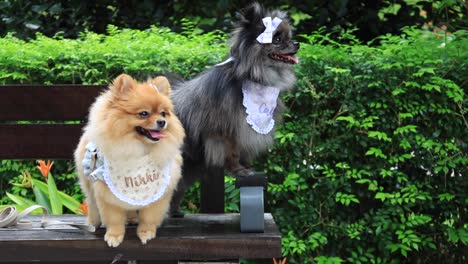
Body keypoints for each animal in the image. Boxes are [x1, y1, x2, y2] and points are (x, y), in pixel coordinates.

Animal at [74, 73, 185, 246]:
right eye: (144, 114)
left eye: (163, 113)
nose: (162, 122)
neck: (140, 148)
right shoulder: (106, 192)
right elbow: (114, 218)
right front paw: (114, 236)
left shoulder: (159, 193)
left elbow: (148, 217)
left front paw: (146, 232)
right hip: (88, 183)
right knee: (92, 204)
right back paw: (93, 223)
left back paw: (132, 219)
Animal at [171, 1, 300, 217]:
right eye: (277, 39)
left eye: (289, 36)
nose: (297, 43)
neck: (251, 76)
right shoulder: (224, 131)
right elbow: (232, 152)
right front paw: (239, 170)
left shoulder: (244, 129)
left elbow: (243, 151)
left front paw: (248, 167)